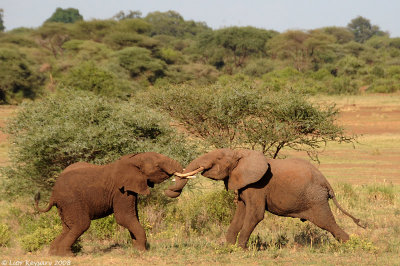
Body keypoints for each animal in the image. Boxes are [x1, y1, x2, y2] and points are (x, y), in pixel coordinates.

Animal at [35, 153, 184, 256]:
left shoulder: (130, 189)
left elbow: (133, 216)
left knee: (67, 227)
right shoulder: (120, 191)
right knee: (81, 224)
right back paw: (67, 255)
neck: (133, 159)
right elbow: (124, 217)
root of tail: (53, 194)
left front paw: (136, 249)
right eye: (158, 166)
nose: (169, 188)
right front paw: (142, 251)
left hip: (65, 206)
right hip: (71, 201)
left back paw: (54, 253)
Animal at [166, 149, 366, 248]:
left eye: (219, 158)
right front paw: (228, 247)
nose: (170, 192)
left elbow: (255, 215)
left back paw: (351, 246)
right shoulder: (244, 185)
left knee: (327, 223)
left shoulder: (258, 186)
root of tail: (326, 182)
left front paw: (240, 249)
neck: (242, 153)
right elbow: (240, 214)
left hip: (315, 199)